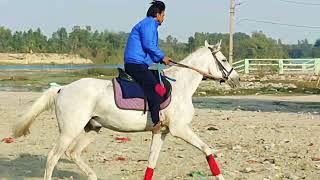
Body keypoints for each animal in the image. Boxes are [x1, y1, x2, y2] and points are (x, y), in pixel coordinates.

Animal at [12, 40, 239, 180]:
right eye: (224, 60)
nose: (236, 79)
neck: (181, 86)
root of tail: (62, 88)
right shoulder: (180, 129)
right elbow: (207, 150)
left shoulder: (161, 132)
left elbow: (151, 163)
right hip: (69, 131)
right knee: (53, 157)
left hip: (92, 128)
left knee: (73, 153)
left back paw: (93, 176)